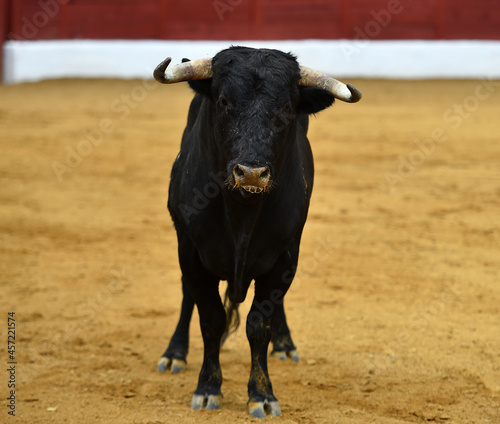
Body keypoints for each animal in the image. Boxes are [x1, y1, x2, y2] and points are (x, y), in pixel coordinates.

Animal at [152, 46, 364, 418]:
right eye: (224, 101)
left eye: (287, 109)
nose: (251, 173)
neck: (242, 212)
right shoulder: (190, 251)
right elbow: (211, 318)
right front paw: (207, 388)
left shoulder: (283, 258)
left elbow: (257, 325)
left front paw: (262, 395)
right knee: (187, 295)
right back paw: (174, 353)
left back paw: (285, 344)